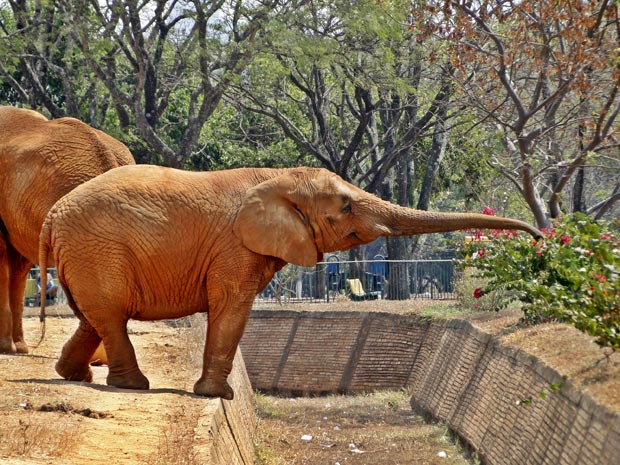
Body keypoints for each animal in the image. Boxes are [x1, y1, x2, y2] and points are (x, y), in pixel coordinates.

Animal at [40, 164, 544, 398]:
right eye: (346, 206)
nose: (542, 238)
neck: (275, 176)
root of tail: (52, 216)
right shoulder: (235, 248)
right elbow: (232, 307)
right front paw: (221, 396)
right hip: (98, 249)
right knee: (109, 314)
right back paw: (133, 386)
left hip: (86, 255)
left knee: (93, 315)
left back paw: (76, 376)